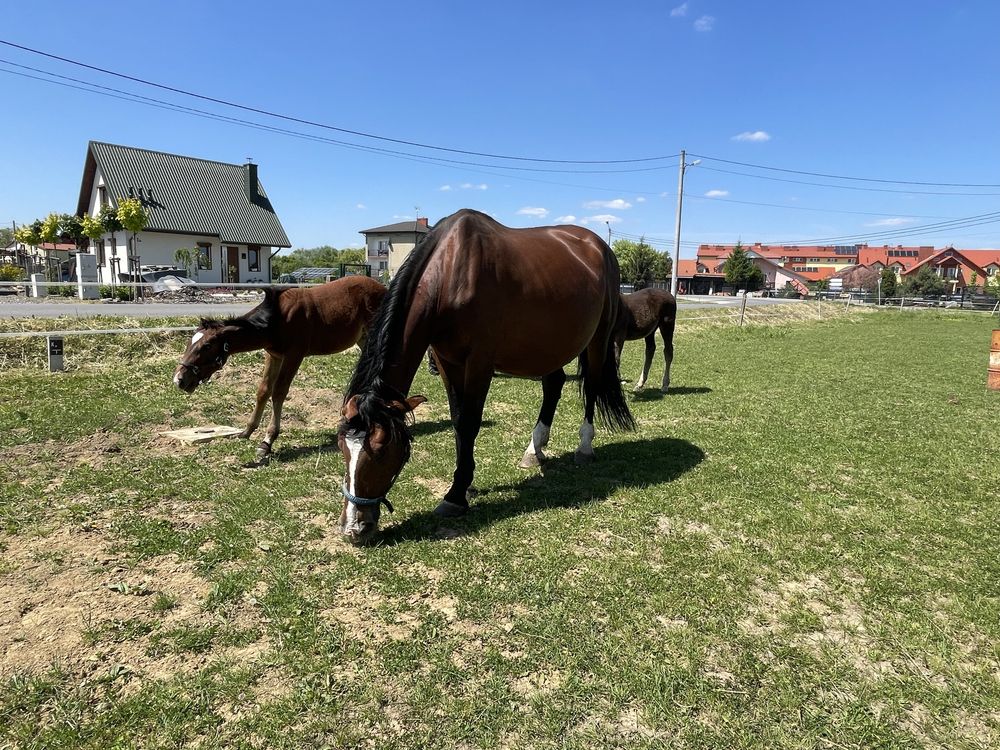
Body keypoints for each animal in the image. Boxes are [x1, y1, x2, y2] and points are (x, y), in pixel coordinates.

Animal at [174, 276, 384, 464]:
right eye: (190, 341)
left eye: (207, 346)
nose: (179, 379)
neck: (276, 319)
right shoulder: (274, 356)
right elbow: (263, 390)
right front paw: (247, 431)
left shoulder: (294, 355)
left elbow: (279, 391)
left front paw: (267, 441)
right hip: (363, 340)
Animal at [336, 212, 632, 548]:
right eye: (342, 447)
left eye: (383, 449)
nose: (354, 529)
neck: (452, 272)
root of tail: (600, 247)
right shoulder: (446, 360)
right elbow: (457, 421)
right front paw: (465, 483)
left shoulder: (479, 362)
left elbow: (469, 423)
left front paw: (455, 496)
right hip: (548, 344)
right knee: (553, 385)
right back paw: (534, 450)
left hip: (597, 339)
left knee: (592, 385)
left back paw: (584, 446)